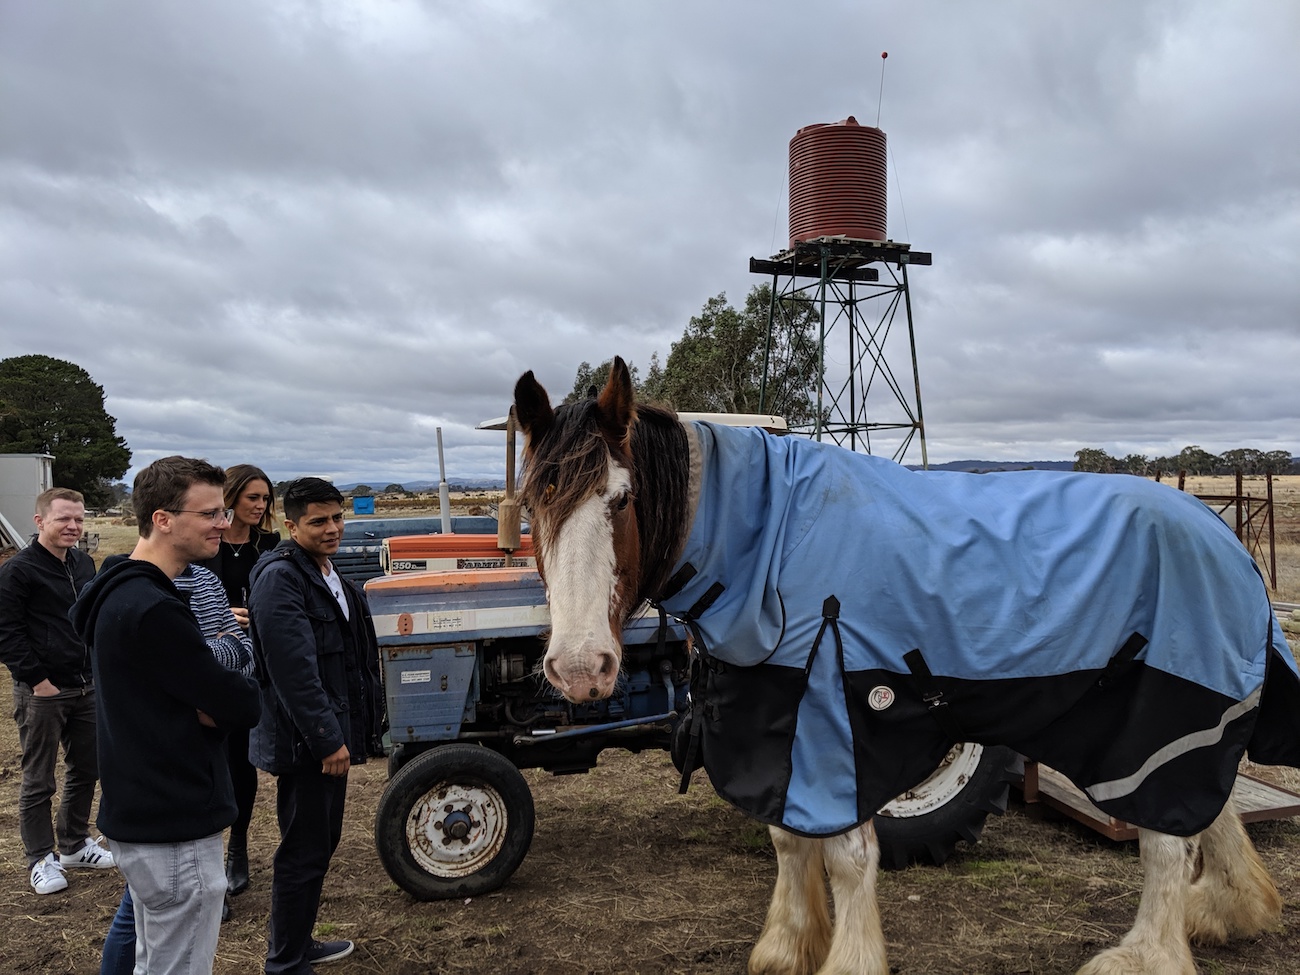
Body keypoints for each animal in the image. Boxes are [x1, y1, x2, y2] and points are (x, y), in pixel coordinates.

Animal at [506, 358, 1300, 975]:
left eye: (622, 499)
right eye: (532, 502)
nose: (579, 667)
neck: (771, 539)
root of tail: (1228, 540)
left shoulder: (841, 720)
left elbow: (850, 855)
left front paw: (847, 958)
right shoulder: (777, 717)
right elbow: (788, 837)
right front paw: (788, 945)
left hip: (1155, 717)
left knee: (1167, 841)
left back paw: (1147, 953)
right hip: (1178, 723)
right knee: (1208, 810)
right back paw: (1228, 910)